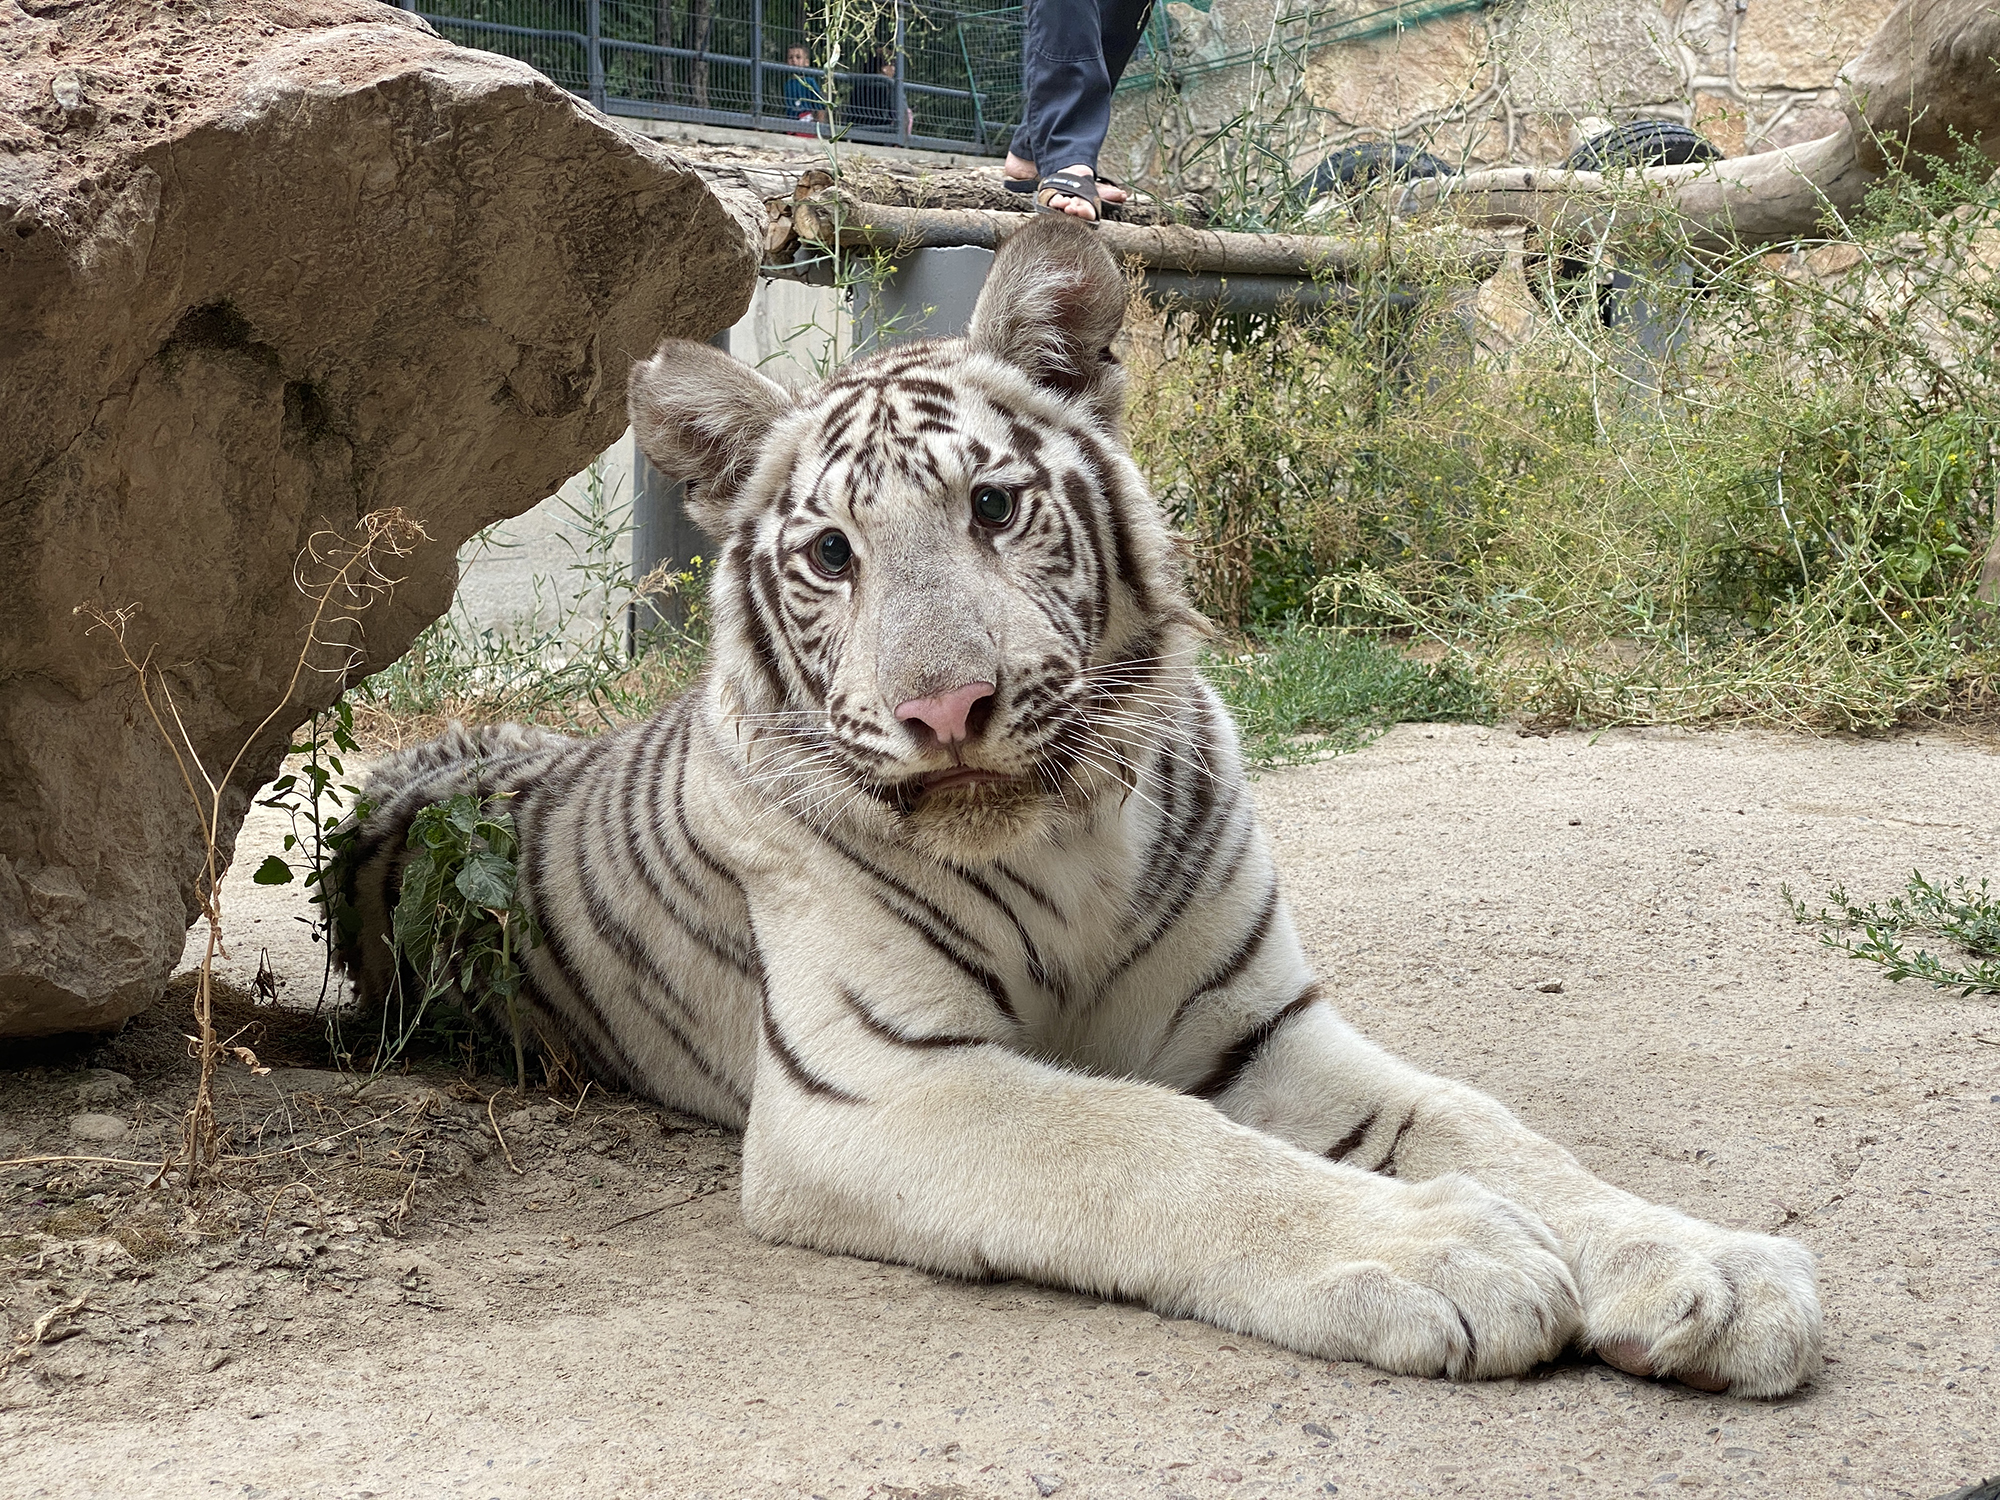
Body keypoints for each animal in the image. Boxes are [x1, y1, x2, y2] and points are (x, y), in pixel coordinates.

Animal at [340, 217, 1816, 1408]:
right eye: (831, 554)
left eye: (994, 507)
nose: (946, 709)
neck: (1066, 844)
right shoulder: (876, 1081)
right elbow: (1141, 1138)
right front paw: (1447, 1248)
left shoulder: (1257, 1024)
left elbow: (1479, 1121)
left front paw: (1706, 1265)